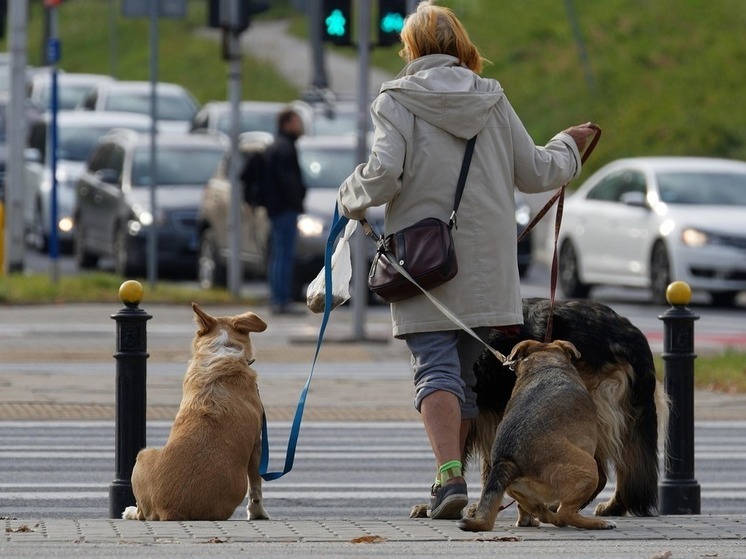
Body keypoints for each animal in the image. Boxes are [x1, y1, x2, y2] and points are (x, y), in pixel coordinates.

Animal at [122, 304, 270, 524]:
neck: (222, 349)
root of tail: (170, 510)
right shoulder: (257, 445)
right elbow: (256, 487)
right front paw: (258, 514)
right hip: (142, 454)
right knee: (141, 514)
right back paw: (130, 511)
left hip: (143, 456)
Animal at [460, 340, 616, 532]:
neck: (545, 362)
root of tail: (508, 461)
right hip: (589, 468)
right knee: (565, 513)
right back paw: (597, 523)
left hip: (519, 491)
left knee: (541, 511)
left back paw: (546, 519)